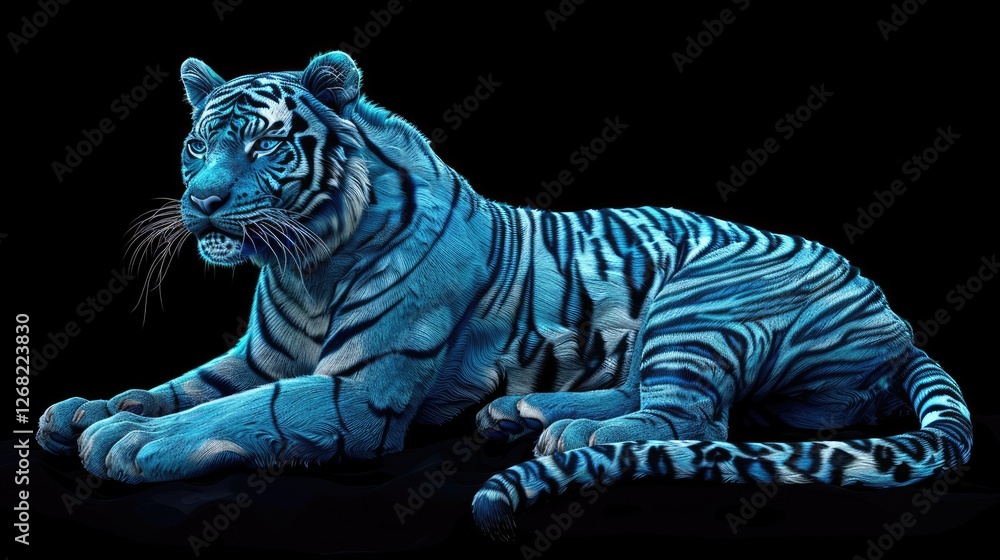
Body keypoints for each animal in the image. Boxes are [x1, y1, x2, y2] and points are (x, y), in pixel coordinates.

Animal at [36, 50, 973, 541]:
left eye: (264, 145)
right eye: (199, 144)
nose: (202, 202)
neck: (307, 263)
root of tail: (900, 321)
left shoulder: (357, 393)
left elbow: (241, 413)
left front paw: (129, 443)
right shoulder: (257, 354)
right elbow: (178, 385)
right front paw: (83, 411)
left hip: (702, 301)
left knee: (694, 417)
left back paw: (566, 432)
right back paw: (518, 415)